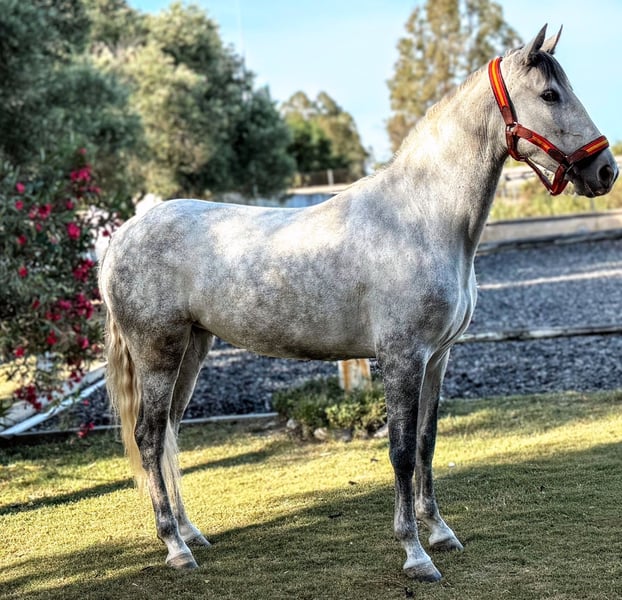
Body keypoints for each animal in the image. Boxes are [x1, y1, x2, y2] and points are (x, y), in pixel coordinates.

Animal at [99, 26, 618, 582]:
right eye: (550, 94)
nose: (605, 170)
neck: (422, 219)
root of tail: (122, 235)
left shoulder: (437, 358)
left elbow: (428, 443)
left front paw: (440, 532)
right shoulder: (401, 357)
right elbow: (401, 451)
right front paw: (415, 554)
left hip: (192, 349)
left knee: (170, 435)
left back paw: (192, 533)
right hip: (158, 352)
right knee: (150, 436)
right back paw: (175, 547)